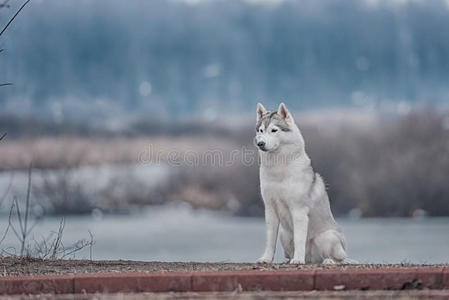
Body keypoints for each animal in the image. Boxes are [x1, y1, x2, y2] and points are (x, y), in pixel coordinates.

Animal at [254, 103, 356, 264]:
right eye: (261, 130)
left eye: (274, 130)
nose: (260, 143)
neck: (279, 168)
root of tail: (311, 259)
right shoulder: (270, 210)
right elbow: (270, 241)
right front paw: (266, 259)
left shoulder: (299, 211)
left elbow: (299, 240)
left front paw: (298, 260)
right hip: (284, 234)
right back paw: (291, 260)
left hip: (327, 238)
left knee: (337, 259)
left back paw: (327, 261)